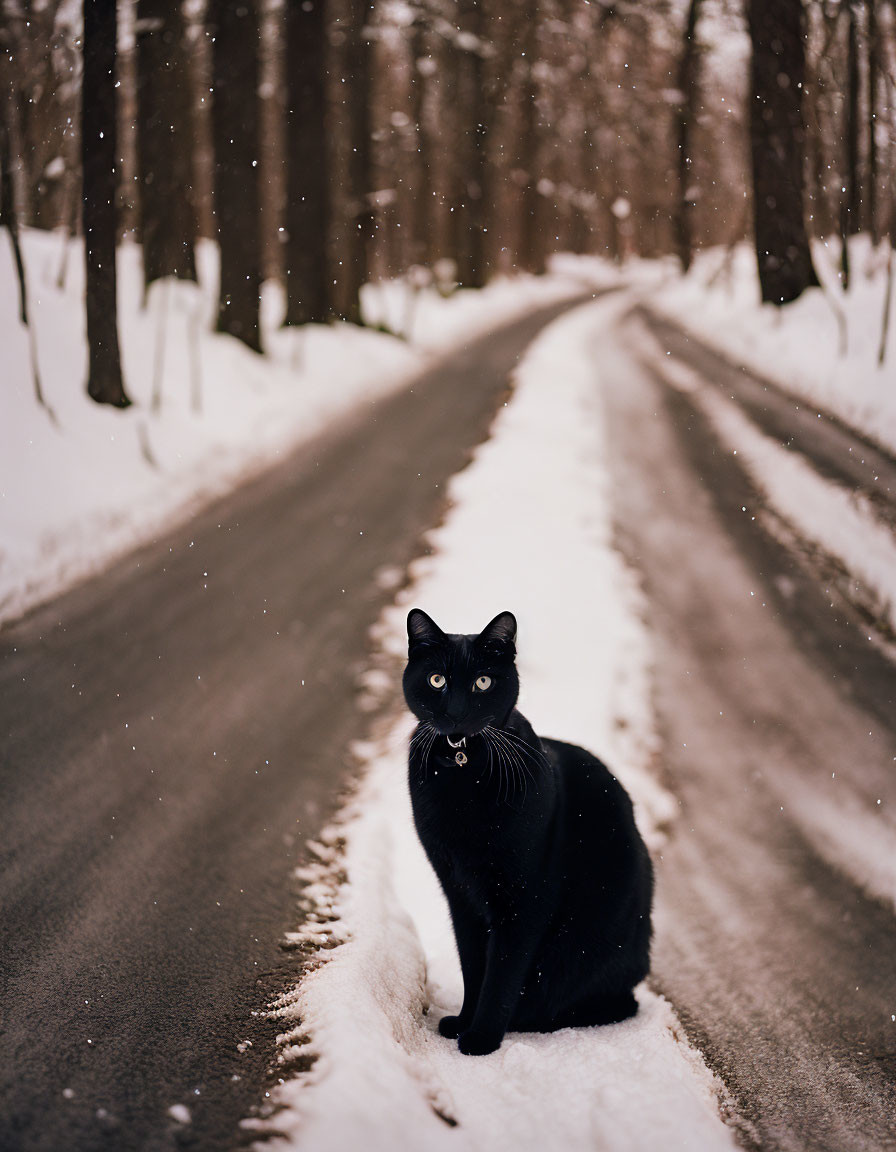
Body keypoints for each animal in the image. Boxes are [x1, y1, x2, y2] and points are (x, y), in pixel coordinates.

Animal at [403, 612, 649, 1055]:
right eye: (437, 680)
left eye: (483, 682)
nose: (457, 712)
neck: (463, 762)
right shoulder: (459, 892)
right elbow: (473, 965)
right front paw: (464, 1022)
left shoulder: (525, 896)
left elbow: (502, 973)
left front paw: (481, 1038)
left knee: (608, 1001)